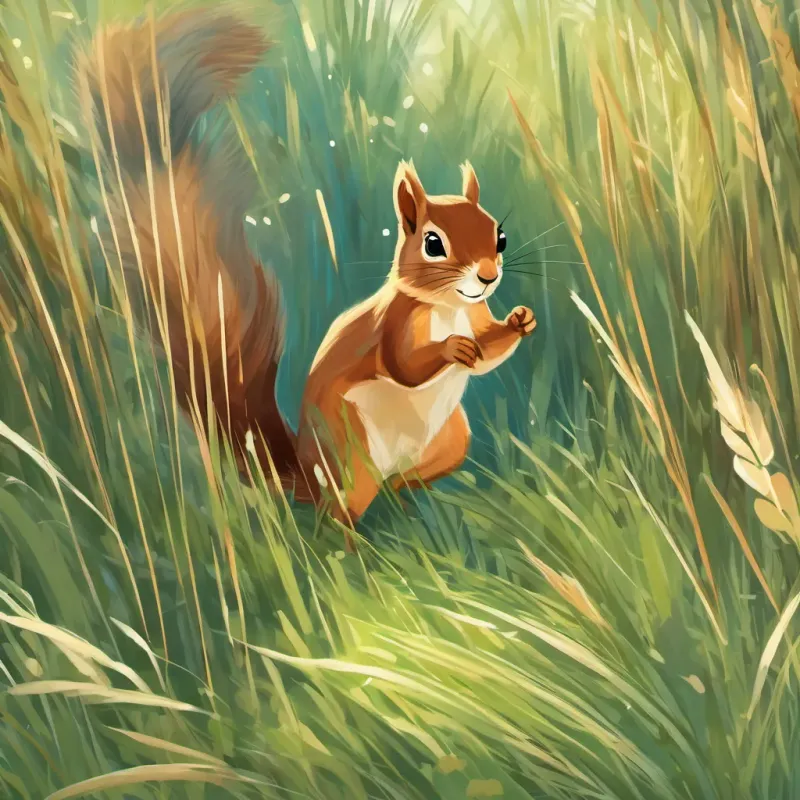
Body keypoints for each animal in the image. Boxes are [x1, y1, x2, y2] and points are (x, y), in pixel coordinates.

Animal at [76, 7, 536, 547]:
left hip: (452, 440)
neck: (450, 305)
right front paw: (450, 350)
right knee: (338, 516)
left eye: (498, 235)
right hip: (351, 451)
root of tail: (309, 474)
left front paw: (519, 322)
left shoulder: (477, 314)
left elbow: (488, 353)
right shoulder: (395, 324)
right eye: (433, 243)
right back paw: (358, 548)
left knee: (404, 482)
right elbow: (403, 364)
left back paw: (406, 503)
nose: (487, 277)